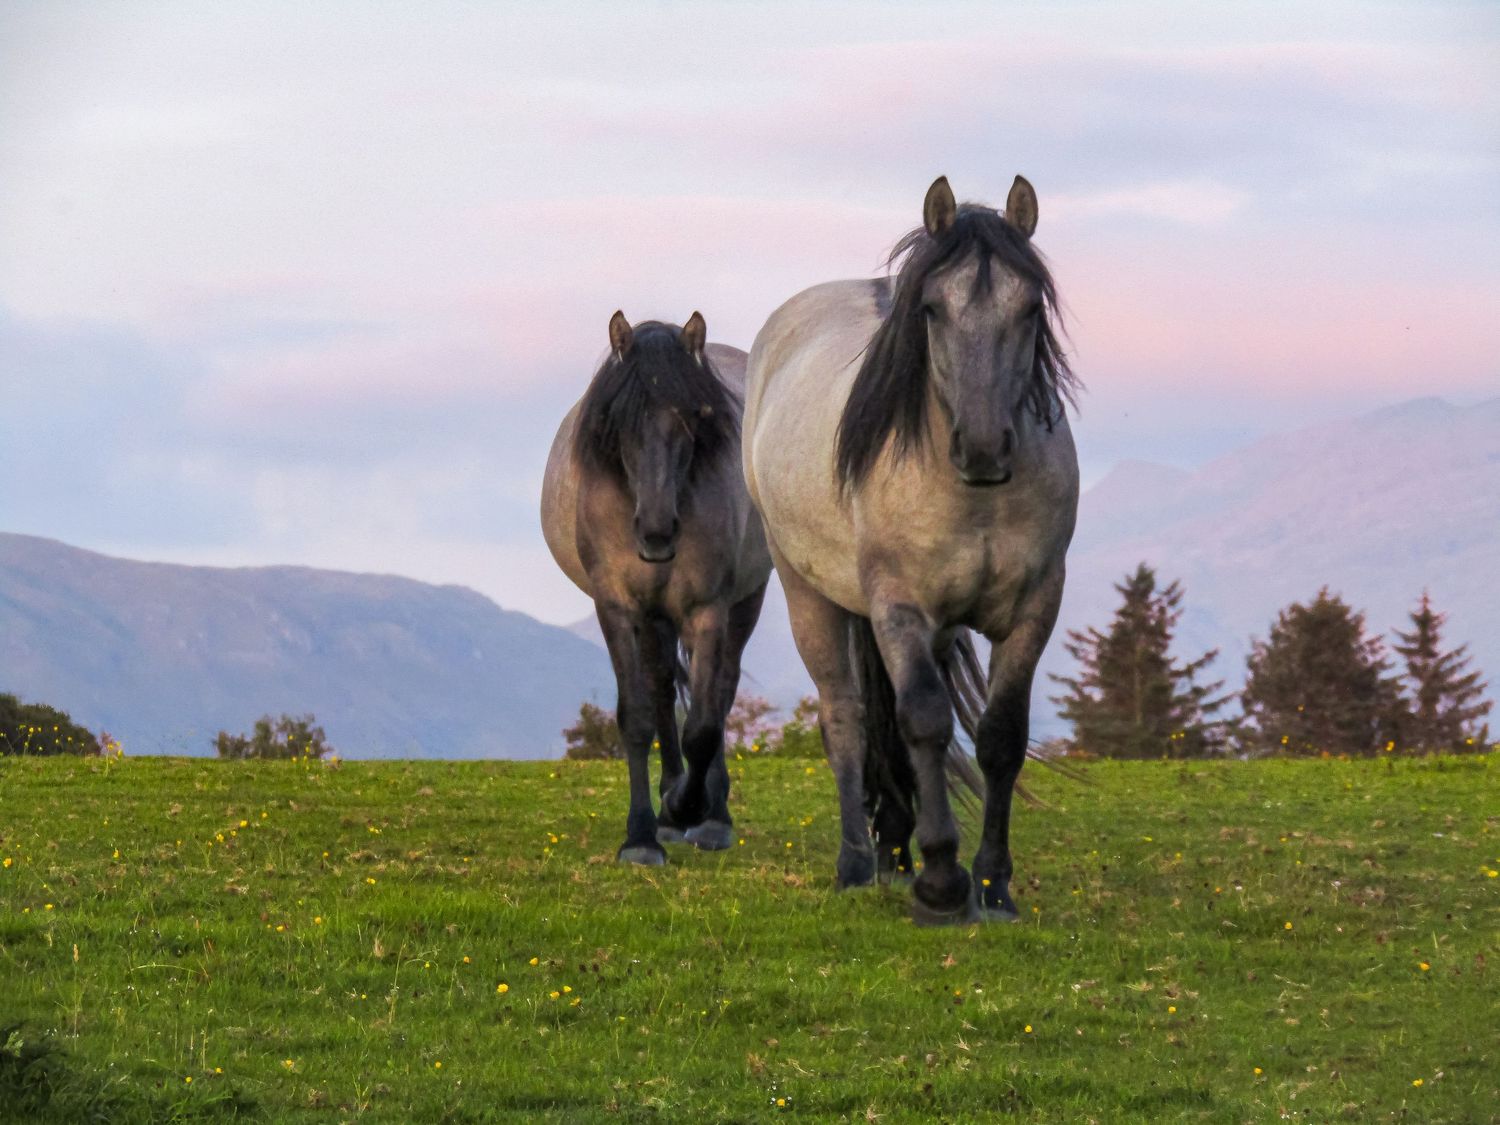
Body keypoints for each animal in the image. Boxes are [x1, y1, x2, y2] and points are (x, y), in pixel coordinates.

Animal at [541, 311, 772, 865]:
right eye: (620, 421)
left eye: (694, 415)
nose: (656, 532)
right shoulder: (619, 608)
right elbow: (639, 715)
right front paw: (643, 835)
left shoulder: (708, 609)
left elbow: (705, 726)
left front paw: (692, 808)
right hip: (655, 618)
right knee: (663, 688)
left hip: (742, 603)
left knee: (720, 692)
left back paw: (709, 814)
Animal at [742, 176, 1080, 923]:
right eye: (931, 309)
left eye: (1030, 306)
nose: (982, 447)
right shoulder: (900, 608)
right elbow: (924, 720)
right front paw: (942, 882)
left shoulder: (1035, 608)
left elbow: (1001, 738)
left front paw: (993, 884)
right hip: (811, 595)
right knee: (846, 718)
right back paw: (857, 863)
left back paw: (894, 852)